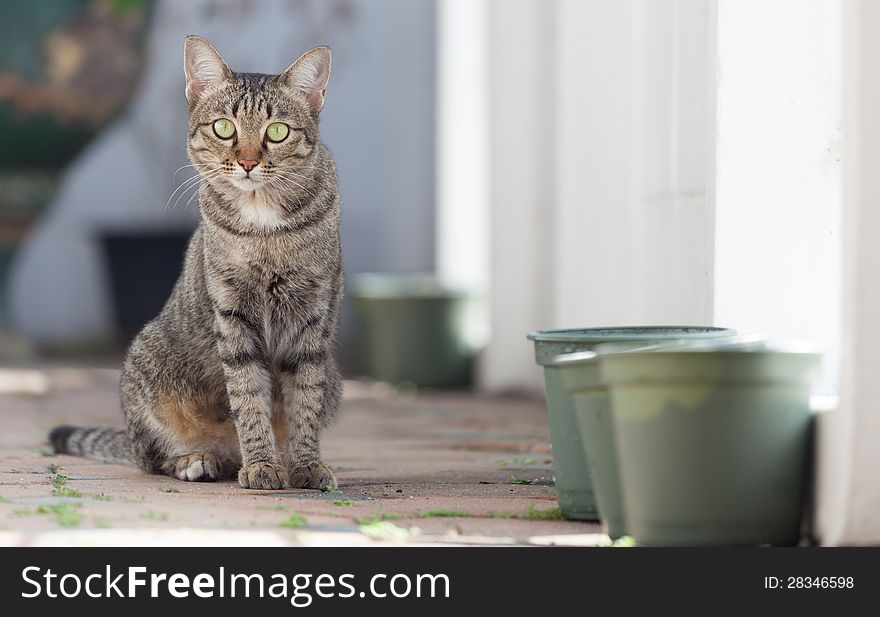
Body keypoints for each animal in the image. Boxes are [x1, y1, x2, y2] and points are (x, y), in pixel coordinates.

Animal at [46, 36, 344, 488]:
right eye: (224, 128)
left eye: (277, 132)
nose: (249, 162)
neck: (265, 227)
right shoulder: (233, 315)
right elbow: (247, 397)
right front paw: (261, 464)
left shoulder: (312, 320)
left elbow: (303, 403)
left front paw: (305, 463)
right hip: (147, 362)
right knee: (151, 457)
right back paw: (198, 459)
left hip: (335, 379)